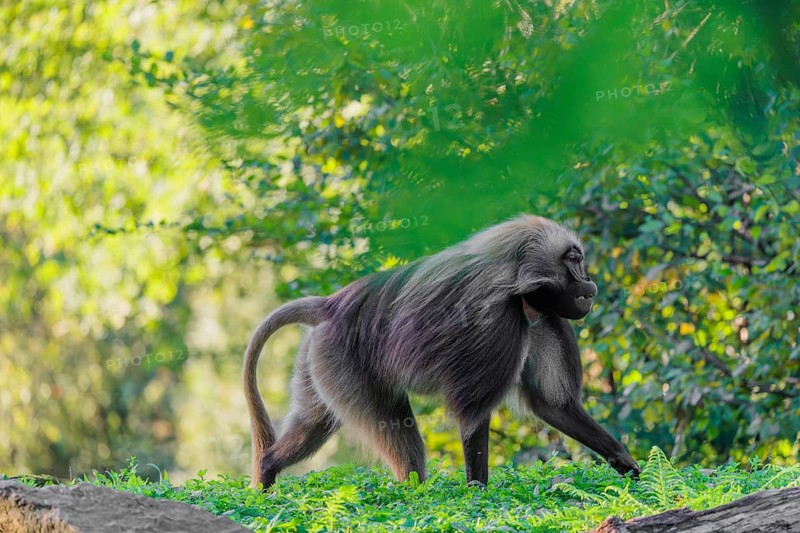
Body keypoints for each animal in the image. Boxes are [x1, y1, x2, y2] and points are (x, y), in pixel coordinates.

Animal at [243, 214, 641, 490]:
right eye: (574, 260)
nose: (589, 283)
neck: (517, 286)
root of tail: (331, 305)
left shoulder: (543, 319)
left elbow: (554, 406)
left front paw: (624, 461)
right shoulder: (495, 320)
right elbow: (473, 414)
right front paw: (477, 490)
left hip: (319, 360)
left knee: (314, 422)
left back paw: (267, 472)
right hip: (344, 361)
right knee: (398, 433)